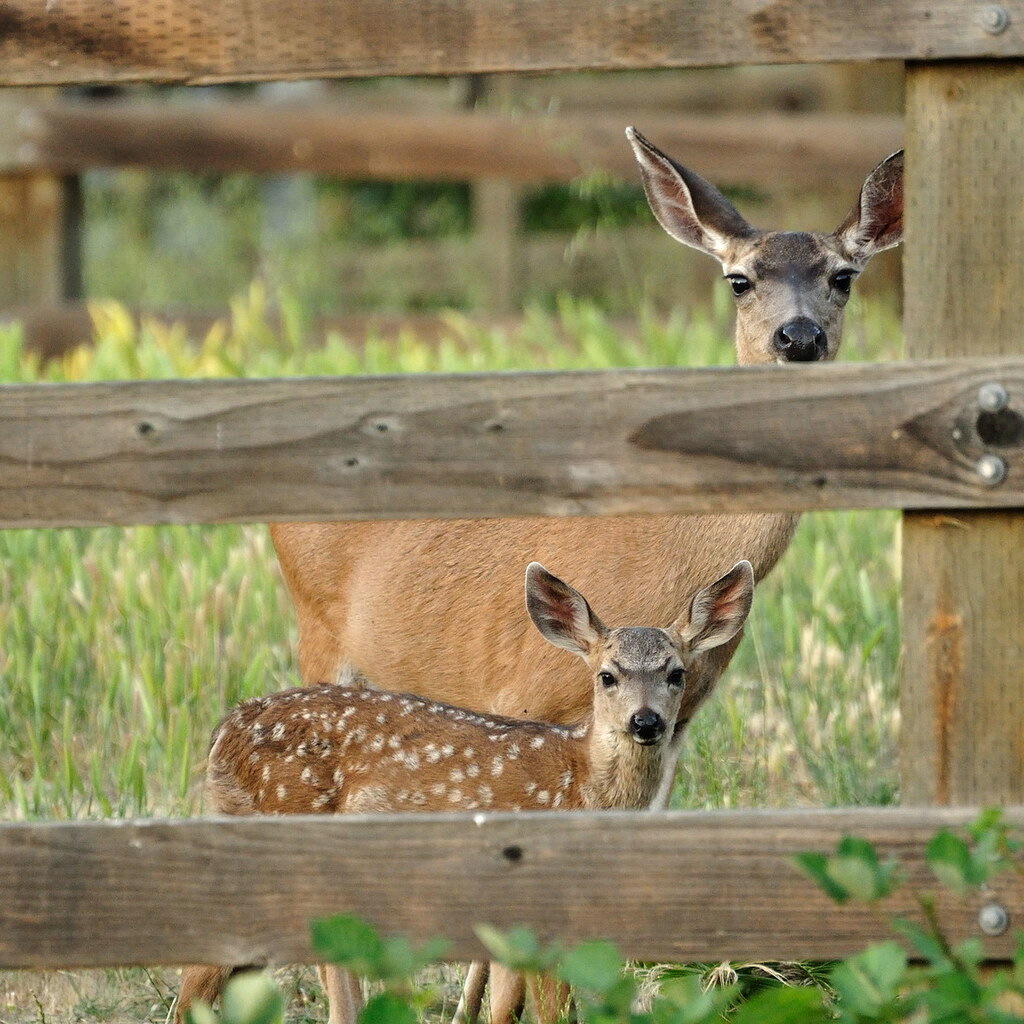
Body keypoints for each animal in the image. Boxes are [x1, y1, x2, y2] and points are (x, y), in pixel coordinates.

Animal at [173, 558, 755, 1024]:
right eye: (607, 676)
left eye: (676, 673)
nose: (646, 721)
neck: (581, 782)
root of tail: (223, 731)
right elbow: (549, 1009)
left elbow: (506, 1007)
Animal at [267, 129, 904, 1023]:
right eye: (739, 279)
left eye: (844, 275)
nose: (800, 337)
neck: (670, 548)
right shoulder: (524, 707)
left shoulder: (672, 731)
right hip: (320, 636)